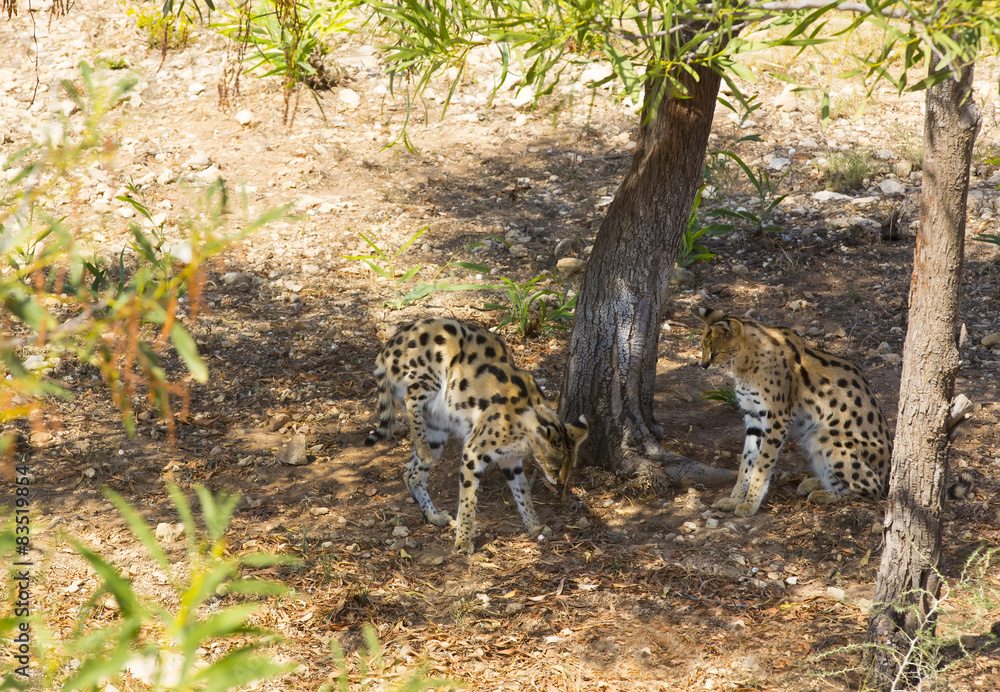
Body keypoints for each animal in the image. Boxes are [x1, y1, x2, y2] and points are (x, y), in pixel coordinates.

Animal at [365, 316, 589, 554]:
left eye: (570, 468)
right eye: (555, 468)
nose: (560, 483)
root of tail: (388, 346)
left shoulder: (511, 461)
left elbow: (523, 493)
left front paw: (534, 526)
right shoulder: (473, 451)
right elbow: (468, 499)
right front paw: (463, 540)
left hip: (436, 429)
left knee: (411, 474)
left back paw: (433, 516)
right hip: (433, 369)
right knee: (410, 400)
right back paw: (423, 451)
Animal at [693, 307, 894, 517]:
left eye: (715, 352)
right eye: (702, 348)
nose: (703, 365)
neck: (743, 362)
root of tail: (888, 474)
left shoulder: (776, 418)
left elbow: (762, 464)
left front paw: (750, 503)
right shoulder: (753, 417)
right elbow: (746, 462)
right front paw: (735, 499)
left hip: (824, 436)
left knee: (873, 491)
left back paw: (825, 493)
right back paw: (816, 483)